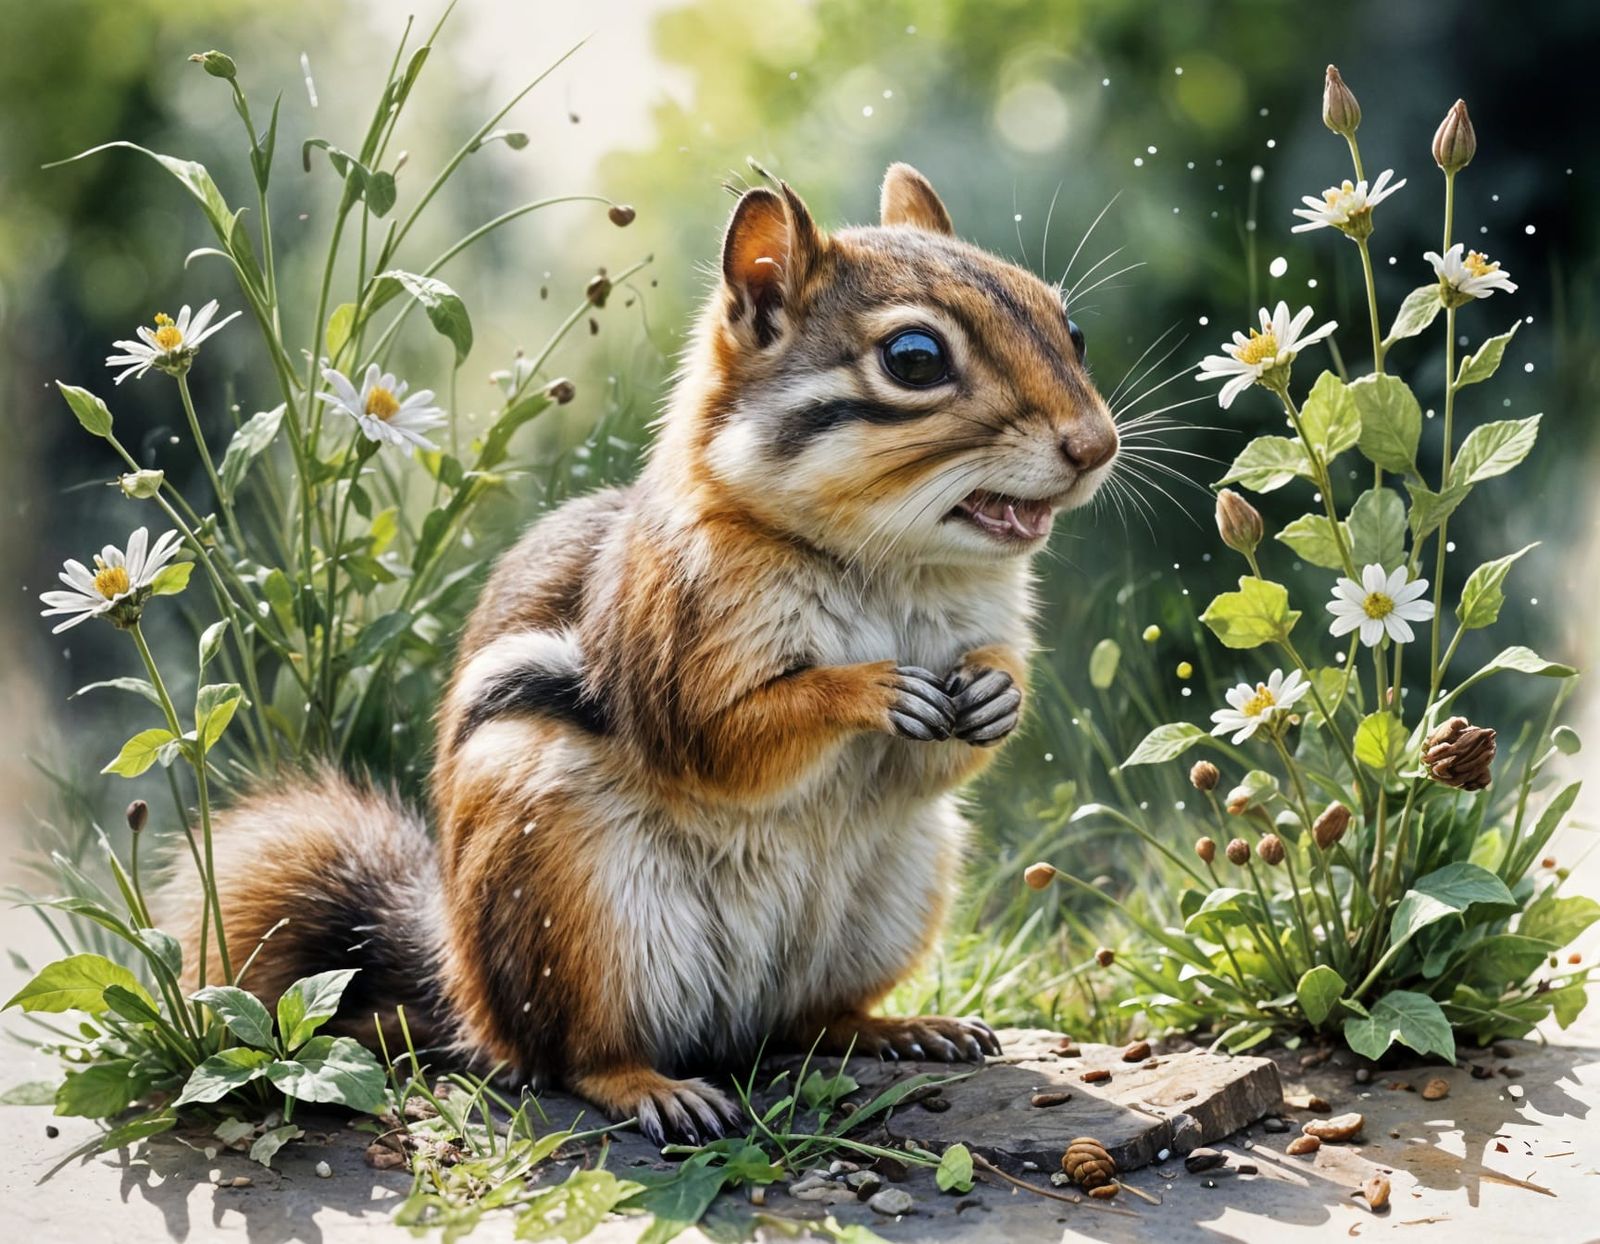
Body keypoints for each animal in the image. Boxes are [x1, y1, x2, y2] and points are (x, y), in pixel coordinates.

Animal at [166, 164, 1119, 1145]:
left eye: (1070, 326)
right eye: (916, 359)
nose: (1098, 446)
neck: (894, 567)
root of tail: (462, 990)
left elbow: (952, 743)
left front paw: (998, 694)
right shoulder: (675, 642)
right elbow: (723, 737)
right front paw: (868, 690)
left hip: (899, 886)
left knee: (808, 1021)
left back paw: (902, 1028)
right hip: (575, 910)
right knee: (569, 1054)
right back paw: (654, 1088)